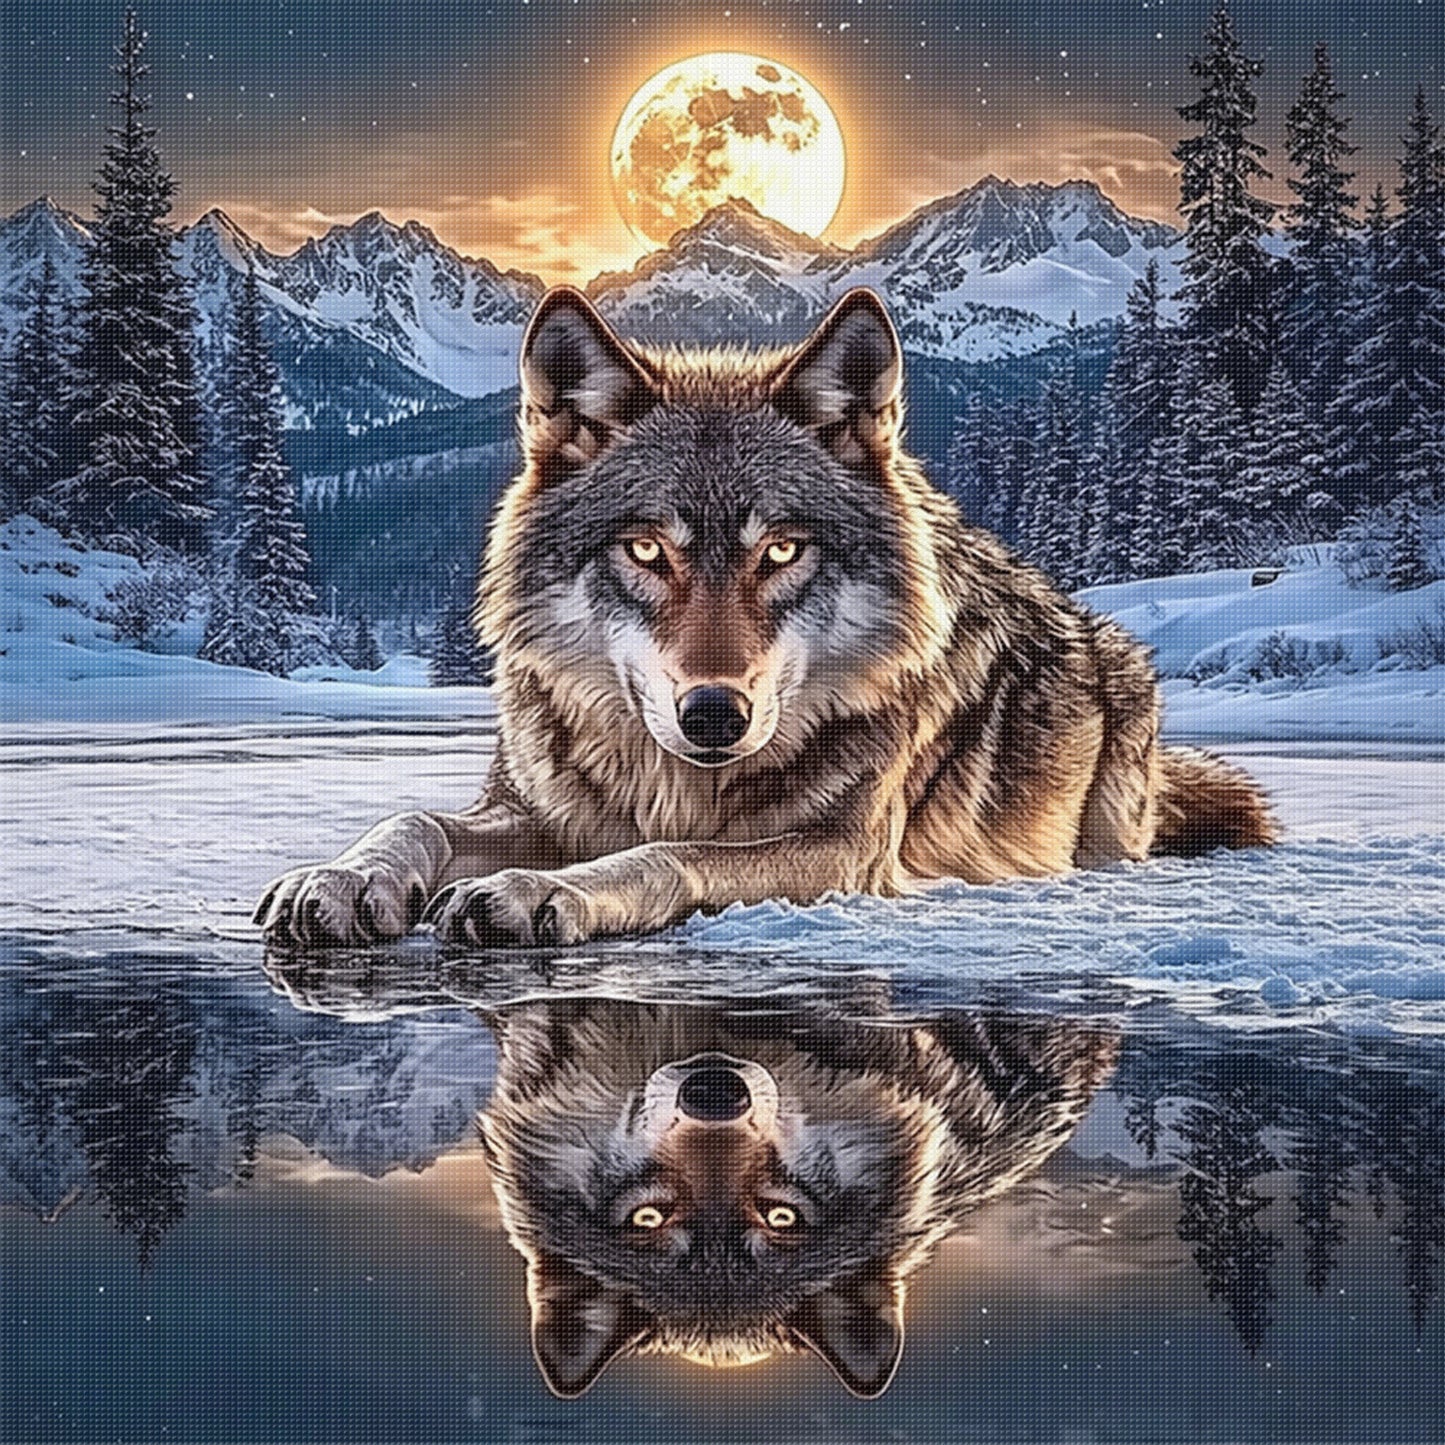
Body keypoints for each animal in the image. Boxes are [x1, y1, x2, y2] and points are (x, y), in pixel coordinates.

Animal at [255, 285, 1277, 948]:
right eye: (646, 551)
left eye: (780, 551)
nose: (714, 713)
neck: (673, 777)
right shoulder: (530, 804)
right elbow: (414, 817)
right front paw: (339, 878)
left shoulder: (843, 852)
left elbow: (669, 853)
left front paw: (540, 890)